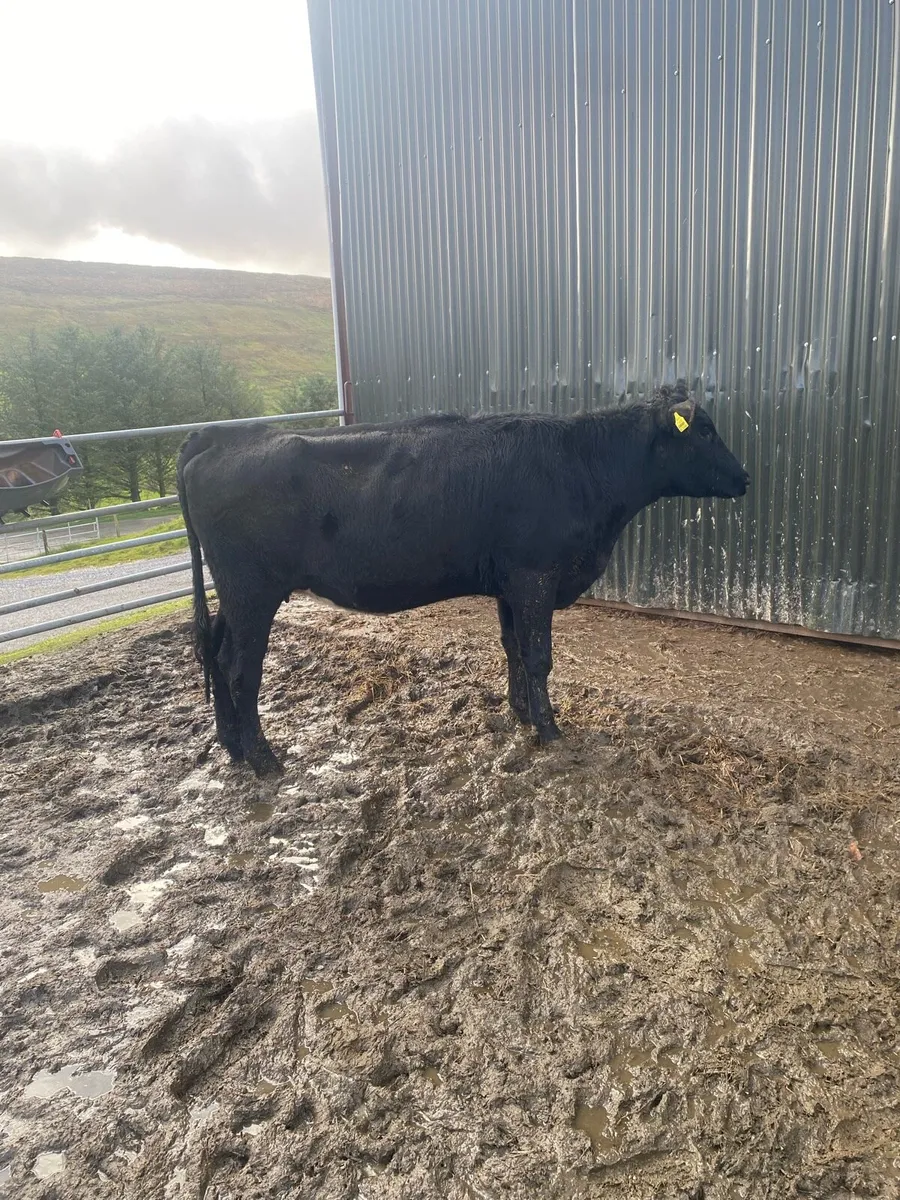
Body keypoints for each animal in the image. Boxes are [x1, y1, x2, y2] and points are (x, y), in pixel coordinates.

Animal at [176, 383, 749, 776]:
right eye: (703, 430)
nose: (745, 476)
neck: (581, 464)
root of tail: (217, 434)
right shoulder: (536, 575)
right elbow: (539, 656)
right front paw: (550, 729)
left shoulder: (509, 582)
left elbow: (513, 646)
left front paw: (521, 713)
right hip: (253, 591)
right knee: (240, 670)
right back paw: (263, 758)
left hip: (234, 594)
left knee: (213, 649)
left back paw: (230, 746)